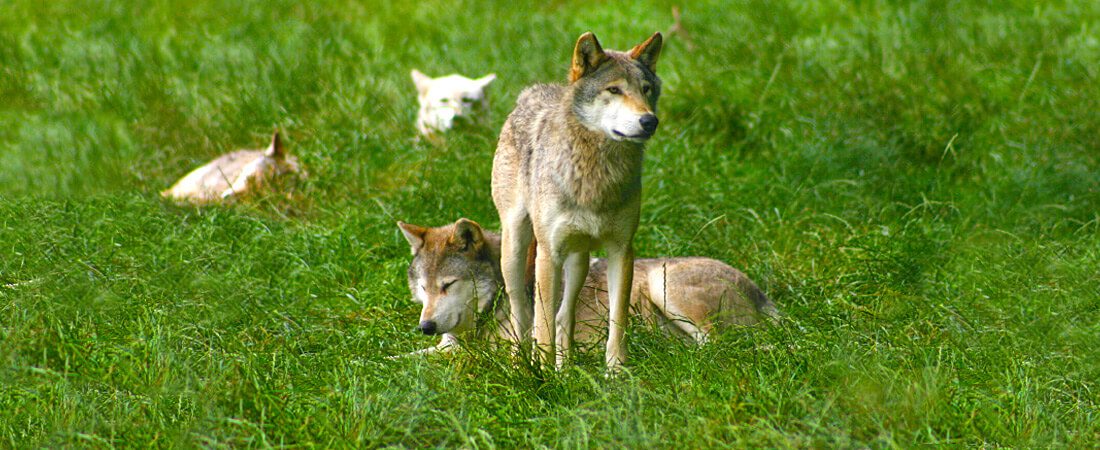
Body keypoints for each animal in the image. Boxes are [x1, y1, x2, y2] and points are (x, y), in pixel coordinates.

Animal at [391, 218, 778, 356]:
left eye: (448, 284)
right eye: (423, 288)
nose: (425, 326)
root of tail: (763, 296)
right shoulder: (445, 344)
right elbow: (401, 359)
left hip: (663, 284)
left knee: (717, 344)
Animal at [495, 30, 664, 367]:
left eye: (646, 89)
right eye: (614, 89)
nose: (649, 121)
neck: (597, 174)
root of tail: (531, 93)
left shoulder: (622, 250)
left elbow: (617, 319)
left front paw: (616, 370)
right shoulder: (549, 254)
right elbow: (542, 326)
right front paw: (543, 373)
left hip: (578, 261)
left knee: (564, 316)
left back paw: (566, 369)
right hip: (516, 249)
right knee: (522, 314)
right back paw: (522, 365)